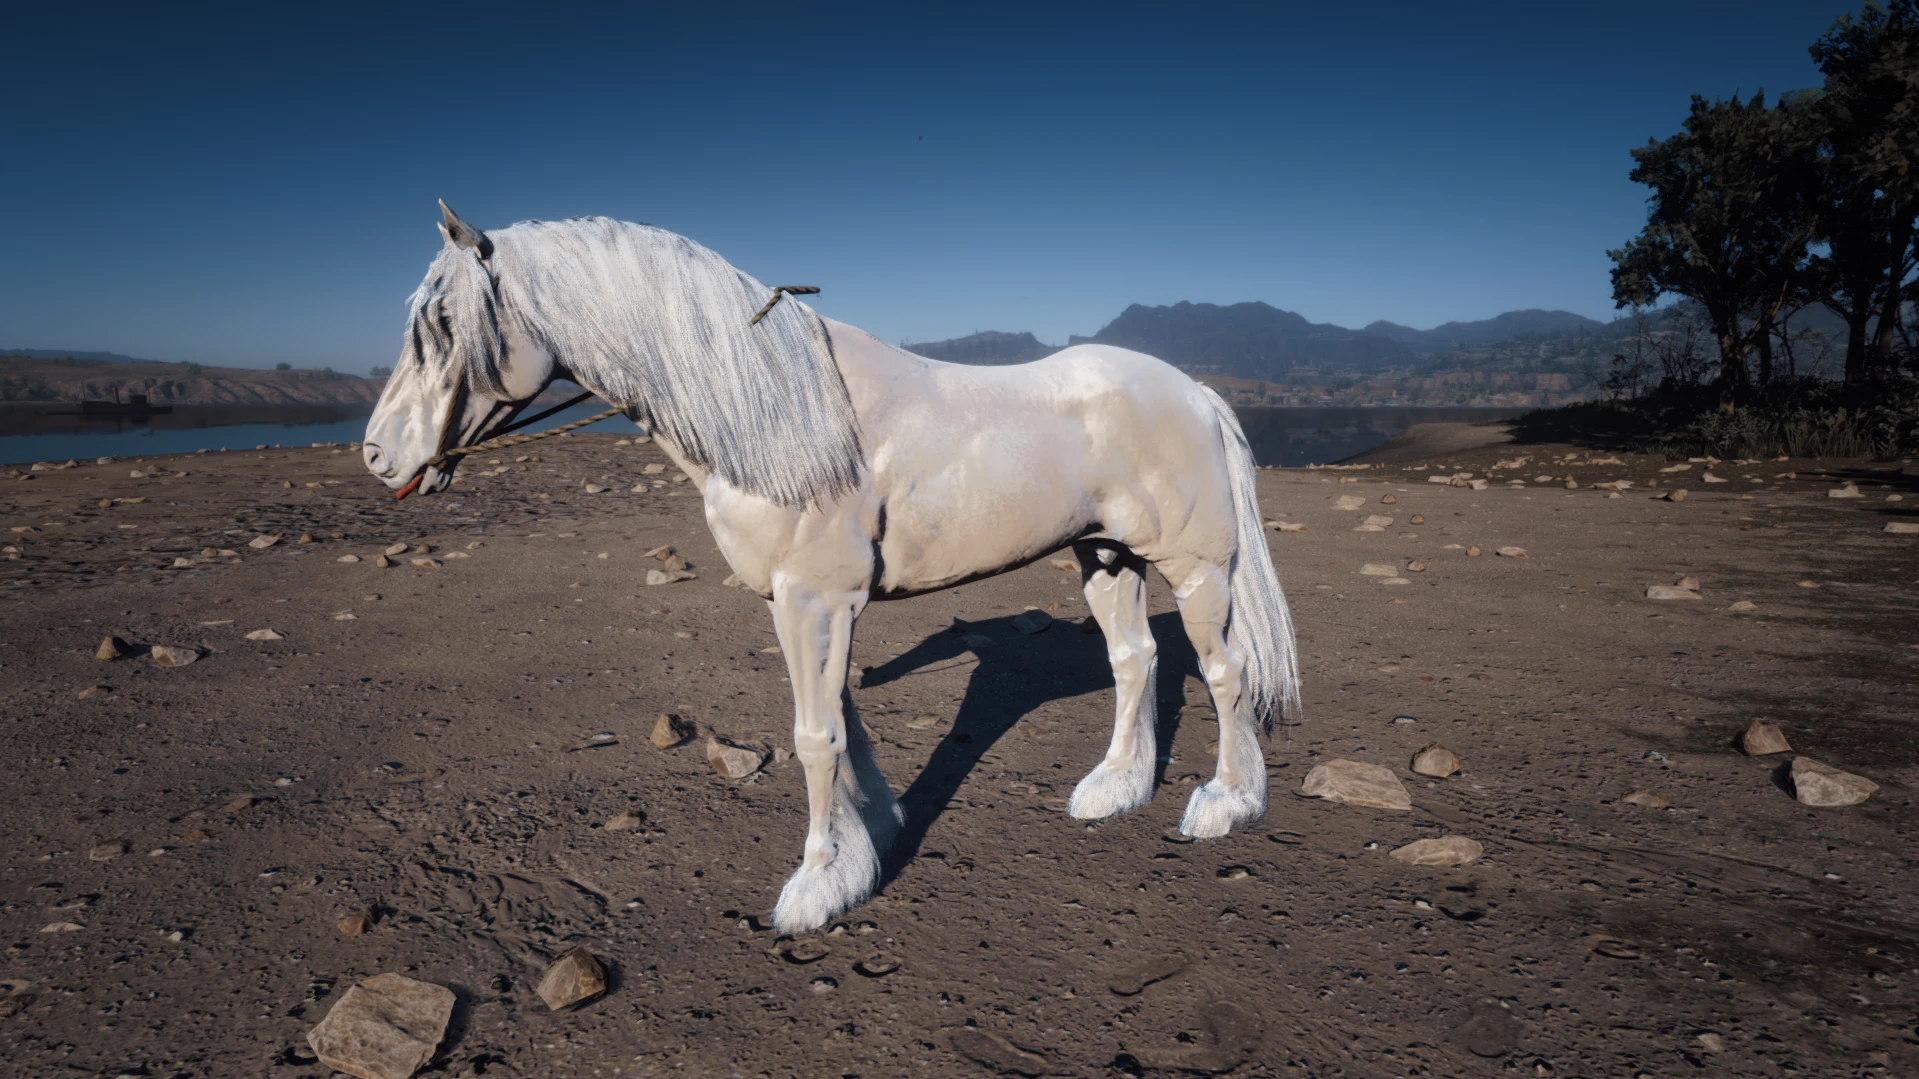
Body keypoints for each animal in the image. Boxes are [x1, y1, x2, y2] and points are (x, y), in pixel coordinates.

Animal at [363, 202, 1303, 933]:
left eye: (441, 323)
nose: (377, 455)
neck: (780, 412)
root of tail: (1193, 392)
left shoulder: (817, 599)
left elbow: (814, 737)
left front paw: (817, 884)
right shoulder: (799, 603)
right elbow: (842, 724)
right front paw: (870, 838)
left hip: (1195, 568)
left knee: (1222, 674)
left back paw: (1224, 802)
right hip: (1106, 557)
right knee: (1133, 659)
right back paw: (1114, 788)